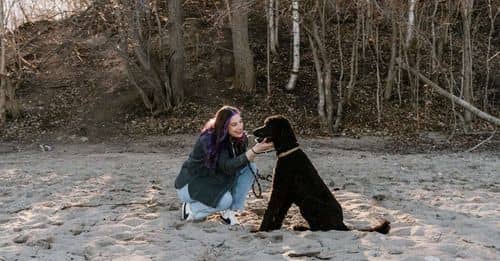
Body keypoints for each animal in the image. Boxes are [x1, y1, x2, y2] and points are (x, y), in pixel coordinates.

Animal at [252, 115, 388, 233]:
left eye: (268, 125)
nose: (253, 131)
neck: (288, 150)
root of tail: (341, 223)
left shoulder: (278, 190)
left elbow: (270, 211)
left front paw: (260, 230)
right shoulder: (287, 194)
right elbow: (280, 213)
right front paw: (274, 228)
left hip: (308, 201)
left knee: (319, 228)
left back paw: (301, 227)